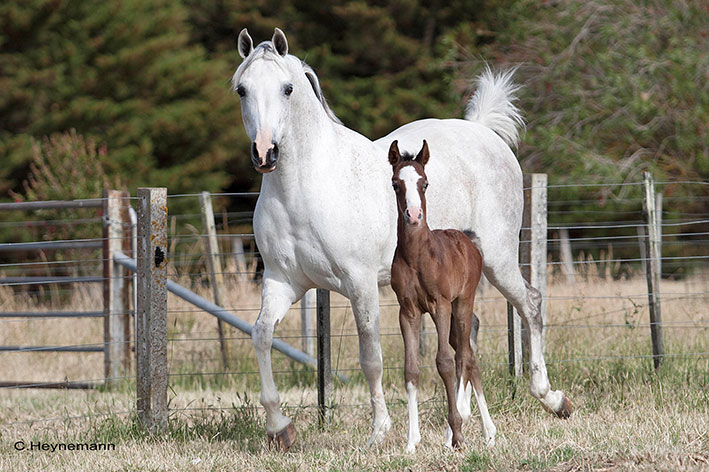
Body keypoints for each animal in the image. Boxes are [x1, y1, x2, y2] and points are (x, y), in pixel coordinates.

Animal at [390, 138, 496, 452]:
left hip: (462, 303)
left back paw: (465, 427)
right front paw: (411, 442)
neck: (417, 256)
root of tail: (467, 239)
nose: (414, 215)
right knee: (469, 354)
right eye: (396, 184)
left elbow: (445, 363)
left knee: (463, 356)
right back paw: (486, 431)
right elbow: (411, 369)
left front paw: (458, 433)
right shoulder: (408, 311)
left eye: (424, 183)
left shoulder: (440, 305)